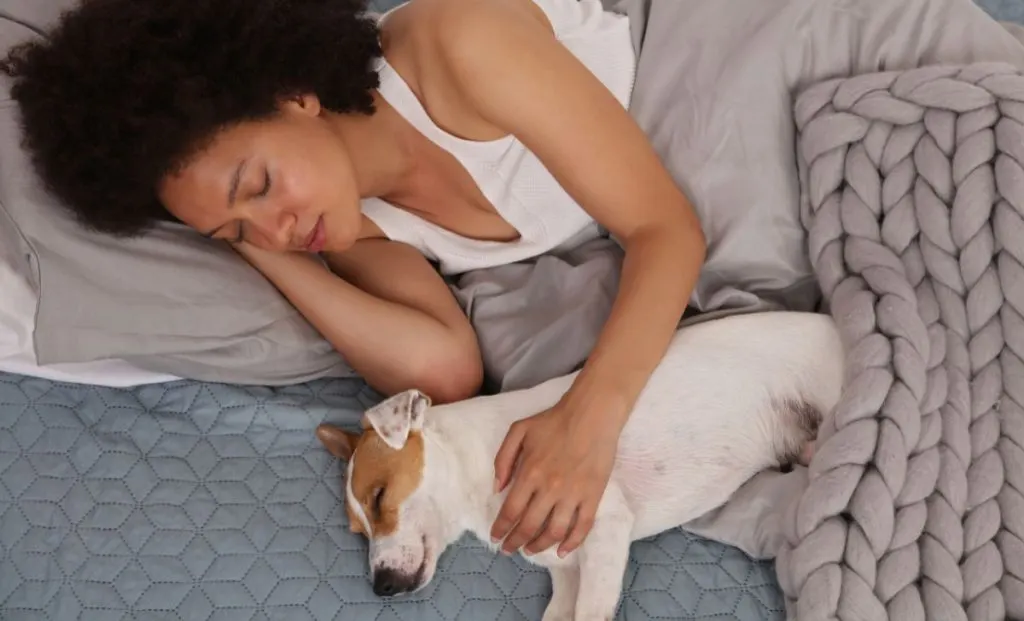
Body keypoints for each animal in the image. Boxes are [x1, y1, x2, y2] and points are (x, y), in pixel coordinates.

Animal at [315, 311, 843, 621]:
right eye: (357, 531)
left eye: (380, 495)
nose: (381, 588)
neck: (482, 462)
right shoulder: (566, 568)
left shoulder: (607, 529)